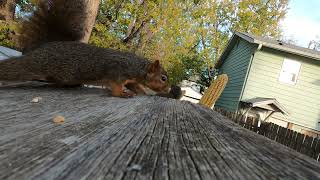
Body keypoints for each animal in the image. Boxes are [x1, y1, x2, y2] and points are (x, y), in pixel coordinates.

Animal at [0, 0, 175, 97]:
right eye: (163, 78)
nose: (168, 90)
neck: (137, 67)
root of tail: (43, 47)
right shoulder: (117, 71)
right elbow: (116, 85)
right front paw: (121, 94)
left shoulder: (130, 78)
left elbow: (135, 85)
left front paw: (141, 91)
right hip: (36, 64)